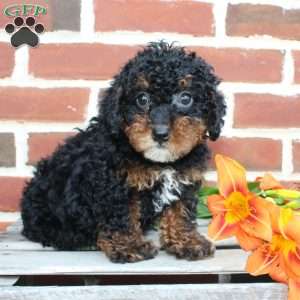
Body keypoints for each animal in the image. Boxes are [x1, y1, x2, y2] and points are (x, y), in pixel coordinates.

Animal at [21, 41, 226, 262]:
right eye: (142, 99)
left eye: (185, 98)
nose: (160, 133)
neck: (159, 162)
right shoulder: (114, 183)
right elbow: (122, 215)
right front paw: (129, 245)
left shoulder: (184, 179)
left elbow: (181, 211)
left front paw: (187, 241)